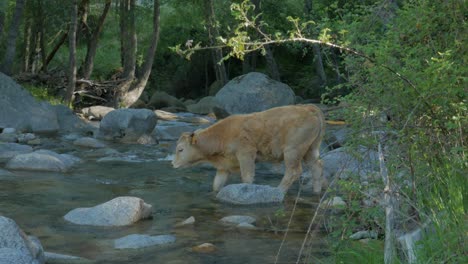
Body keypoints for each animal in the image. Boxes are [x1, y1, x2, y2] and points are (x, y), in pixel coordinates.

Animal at [172, 104, 326, 194]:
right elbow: (217, 184)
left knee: (293, 171)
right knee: (317, 167)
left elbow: (247, 176)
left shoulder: (246, 153)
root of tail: (309, 108)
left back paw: (278, 191)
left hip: (292, 150)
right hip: (311, 149)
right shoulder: (224, 166)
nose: (172, 164)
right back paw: (316, 192)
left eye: (180, 149)